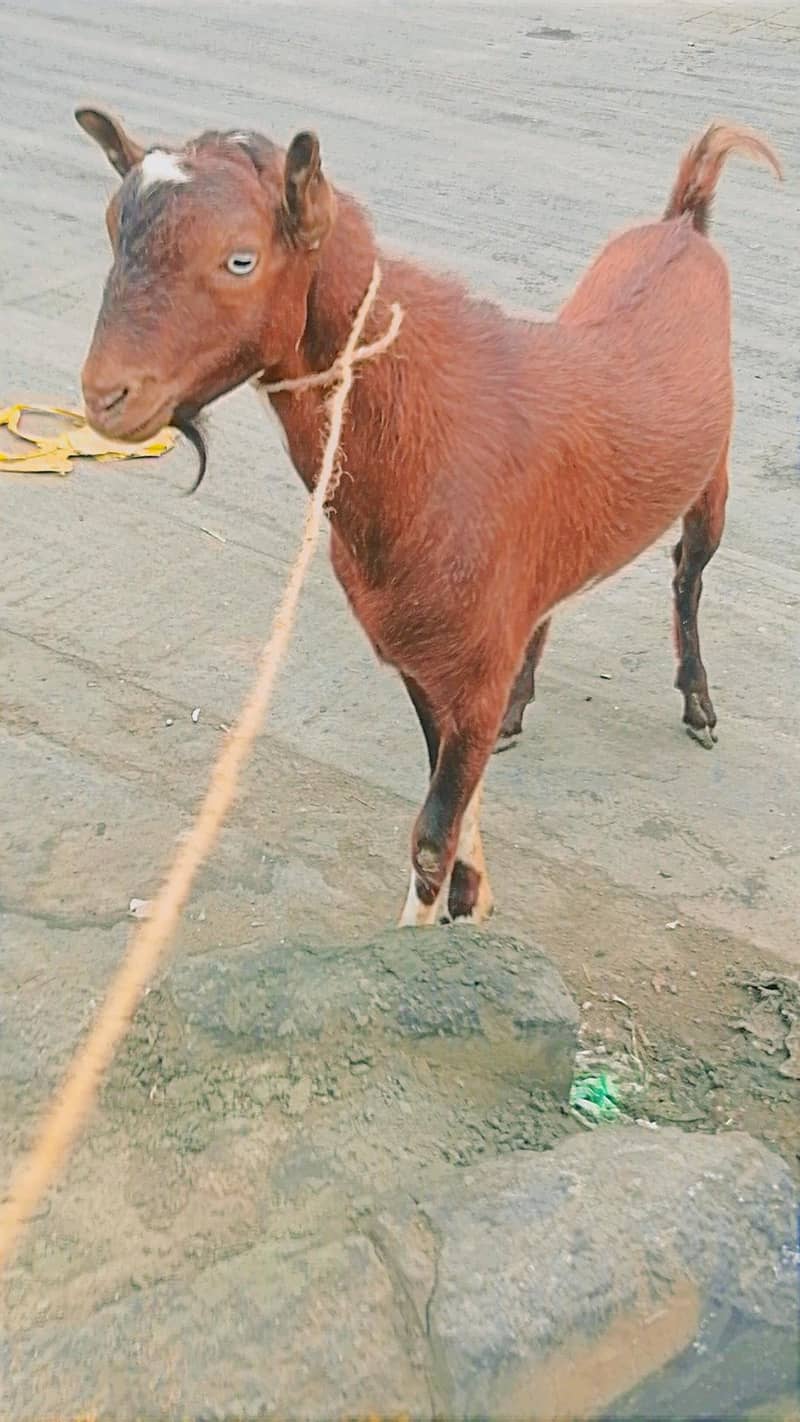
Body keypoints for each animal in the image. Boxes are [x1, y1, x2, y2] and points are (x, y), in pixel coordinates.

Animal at [77, 108, 781, 927]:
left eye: (240, 259)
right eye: (112, 227)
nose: (105, 396)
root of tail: (683, 225)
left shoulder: (466, 669)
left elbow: (430, 834)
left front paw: (431, 920)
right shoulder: (423, 654)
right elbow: (451, 790)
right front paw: (469, 900)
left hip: (713, 478)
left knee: (687, 576)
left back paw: (698, 703)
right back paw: (523, 702)